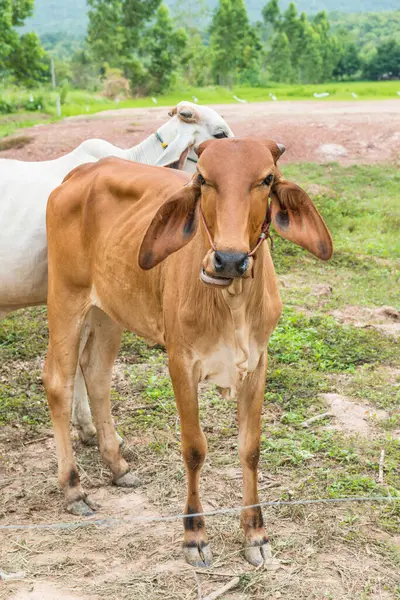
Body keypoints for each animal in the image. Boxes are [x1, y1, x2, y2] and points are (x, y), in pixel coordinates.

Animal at [43, 139, 332, 568]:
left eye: (266, 179)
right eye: (203, 178)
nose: (230, 259)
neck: (232, 300)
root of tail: (78, 174)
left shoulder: (258, 363)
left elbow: (250, 449)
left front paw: (255, 534)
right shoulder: (180, 361)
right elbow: (194, 449)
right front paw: (194, 535)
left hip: (109, 310)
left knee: (95, 376)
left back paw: (117, 465)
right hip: (65, 298)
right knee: (58, 382)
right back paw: (74, 488)